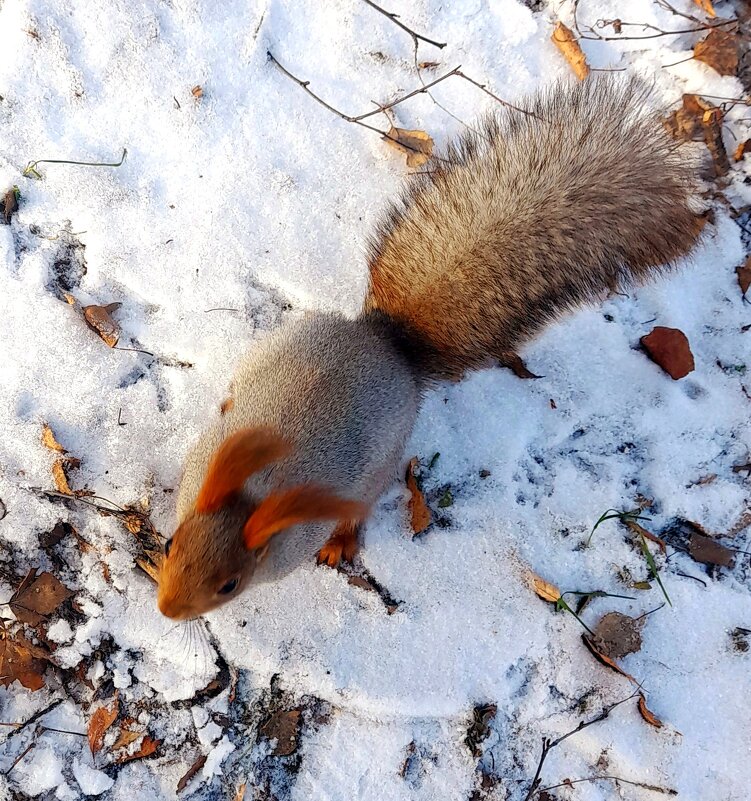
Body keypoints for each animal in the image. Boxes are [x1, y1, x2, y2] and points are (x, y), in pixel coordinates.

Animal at [156, 78, 704, 620]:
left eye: (230, 585)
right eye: (168, 544)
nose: (166, 610)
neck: (255, 494)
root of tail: (387, 342)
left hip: (378, 466)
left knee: (361, 507)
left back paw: (342, 543)